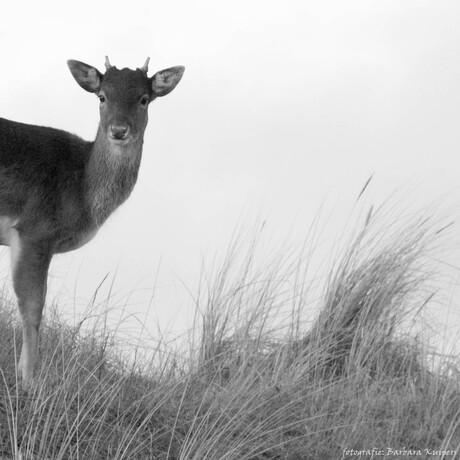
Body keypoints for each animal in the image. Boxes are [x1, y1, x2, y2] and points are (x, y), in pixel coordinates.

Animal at [0, 55, 185, 390]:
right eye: (102, 96)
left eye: (143, 99)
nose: (119, 130)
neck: (82, 188)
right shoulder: (34, 229)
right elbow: (33, 309)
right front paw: (29, 381)